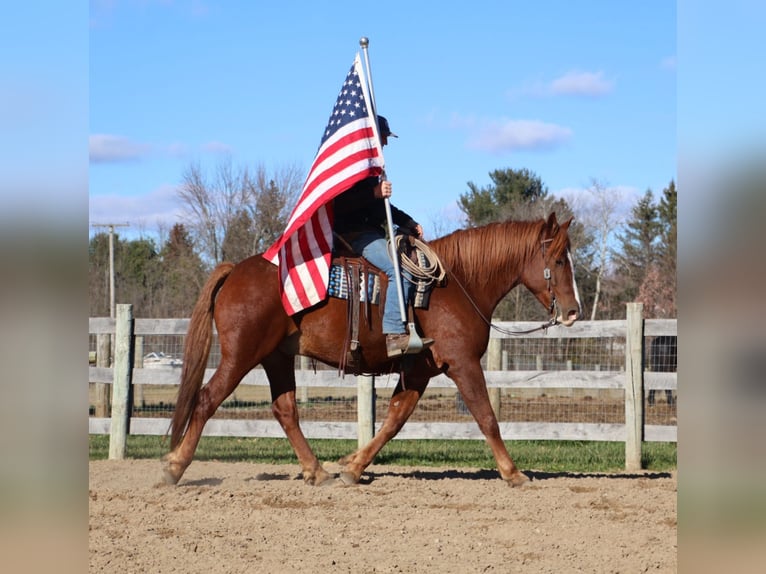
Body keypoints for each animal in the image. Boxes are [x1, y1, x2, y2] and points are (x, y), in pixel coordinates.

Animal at [163, 212, 582, 487]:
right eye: (560, 259)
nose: (574, 311)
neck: (459, 283)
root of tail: (235, 270)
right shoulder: (462, 364)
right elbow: (486, 417)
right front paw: (514, 473)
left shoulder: (419, 371)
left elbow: (394, 420)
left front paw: (352, 466)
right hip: (240, 356)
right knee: (206, 399)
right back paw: (174, 467)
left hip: (275, 358)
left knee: (285, 411)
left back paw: (318, 471)